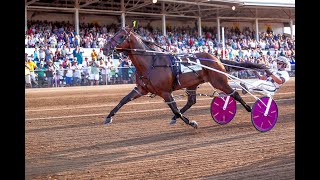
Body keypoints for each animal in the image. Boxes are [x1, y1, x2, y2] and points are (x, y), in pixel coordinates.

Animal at [102, 26, 264, 128]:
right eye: (113, 34)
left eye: (121, 36)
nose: (104, 49)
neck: (151, 62)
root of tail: (215, 58)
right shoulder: (141, 89)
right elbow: (124, 100)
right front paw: (109, 117)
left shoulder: (165, 92)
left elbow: (174, 108)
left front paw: (191, 123)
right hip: (193, 84)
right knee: (192, 101)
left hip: (219, 81)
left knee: (234, 93)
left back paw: (251, 109)